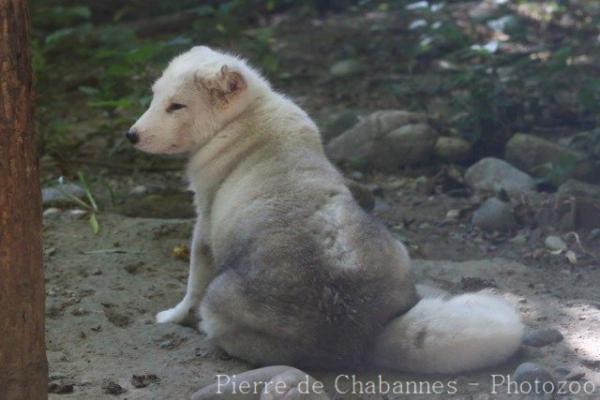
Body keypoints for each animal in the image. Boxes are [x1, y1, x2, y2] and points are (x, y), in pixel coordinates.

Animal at [129, 46, 524, 396]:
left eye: (177, 106)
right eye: (154, 97)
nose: (131, 135)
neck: (247, 116)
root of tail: (364, 330)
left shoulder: (204, 224)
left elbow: (192, 283)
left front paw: (172, 316)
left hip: (217, 303)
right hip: (398, 248)